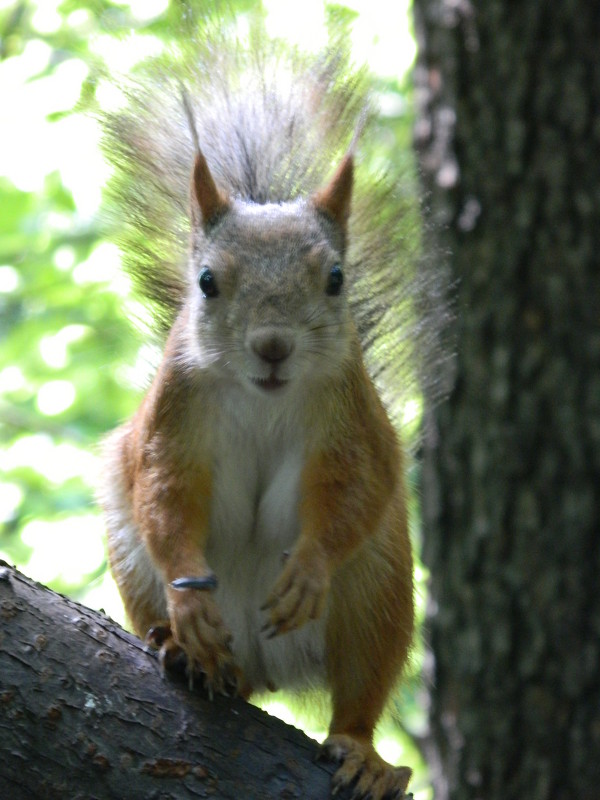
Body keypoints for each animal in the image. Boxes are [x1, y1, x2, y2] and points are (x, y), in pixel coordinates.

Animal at [99, 17, 440, 800]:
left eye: (337, 278)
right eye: (206, 282)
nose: (274, 347)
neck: (262, 398)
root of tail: (262, 667)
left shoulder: (352, 421)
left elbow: (352, 492)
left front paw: (310, 565)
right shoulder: (172, 417)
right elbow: (165, 496)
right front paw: (188, 605)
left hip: (377, 590)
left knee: (360, 688)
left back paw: (363, 753)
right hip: (129, 557)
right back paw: (187, 652)